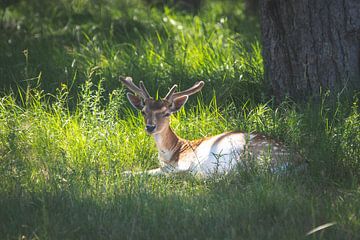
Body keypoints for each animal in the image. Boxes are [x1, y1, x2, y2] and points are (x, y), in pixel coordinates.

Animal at [120, 76, 298, 177]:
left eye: (166, 113)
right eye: (143, 111)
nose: (150, 127)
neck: (173, 151)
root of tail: (298, 163)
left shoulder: (185, 161)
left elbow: (163, 171)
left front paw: (125, 172)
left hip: (253, 154)